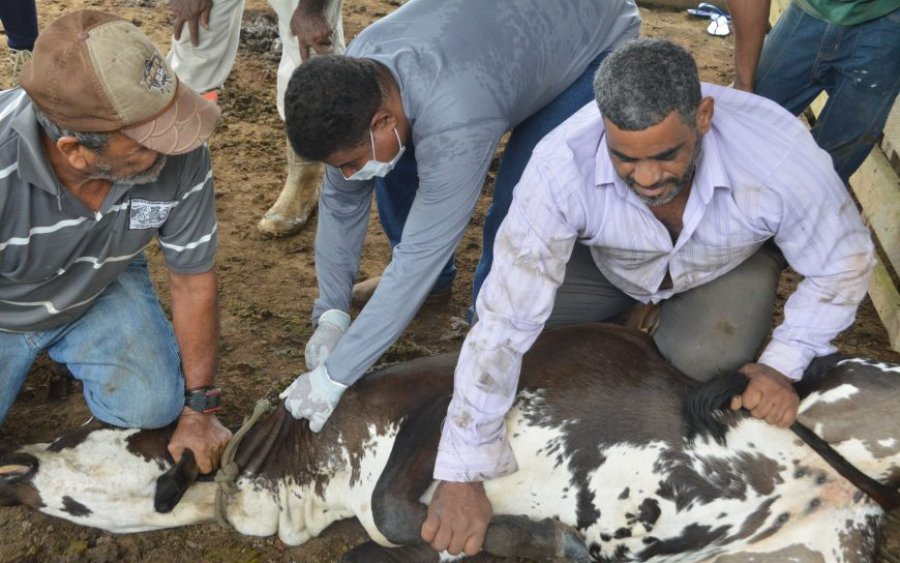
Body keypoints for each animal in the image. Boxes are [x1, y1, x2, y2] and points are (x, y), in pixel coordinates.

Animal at [1, 324, 900, 560]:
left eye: (83, 426)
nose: (15, 462)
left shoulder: (446, 401)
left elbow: (404, 496)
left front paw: (540, 534)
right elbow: (389, 536)